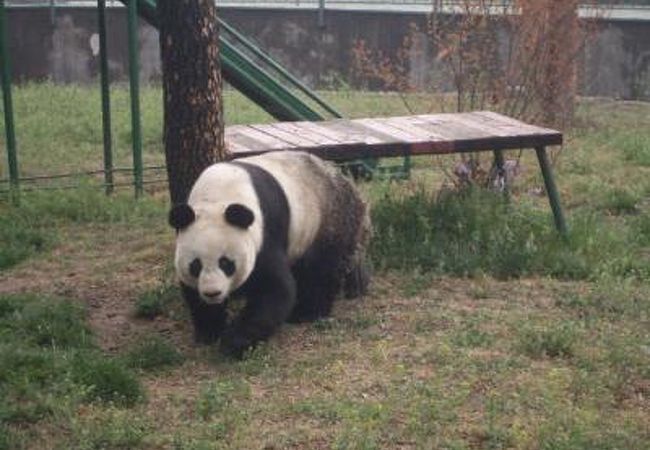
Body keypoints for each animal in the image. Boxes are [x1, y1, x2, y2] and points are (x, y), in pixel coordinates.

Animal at [168, 151, 370, 358]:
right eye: (196, 265)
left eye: (226, 263)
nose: (212, 293)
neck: (218, 196)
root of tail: (348, 183)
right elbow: (193, 293)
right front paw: (209, 331)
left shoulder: (265, 231)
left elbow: (274, 288)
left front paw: (234, 343)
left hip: (327, 220)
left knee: (321, 270)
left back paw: (305, 313)